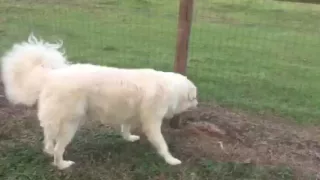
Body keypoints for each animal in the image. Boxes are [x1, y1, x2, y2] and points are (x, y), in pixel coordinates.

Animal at [1, 34, 198, 170]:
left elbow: (126, 127)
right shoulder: (152, 123)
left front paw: (128, 138)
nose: (197, 103)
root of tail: (51, 75)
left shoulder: (130, 114)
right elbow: (162, 144)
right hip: (70, 124)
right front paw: (171, 160)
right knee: (58, 149)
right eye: (194, 97)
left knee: (49, 139)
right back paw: (63, 165)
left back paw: (49, 151)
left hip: (56, 121)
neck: (169, 87)